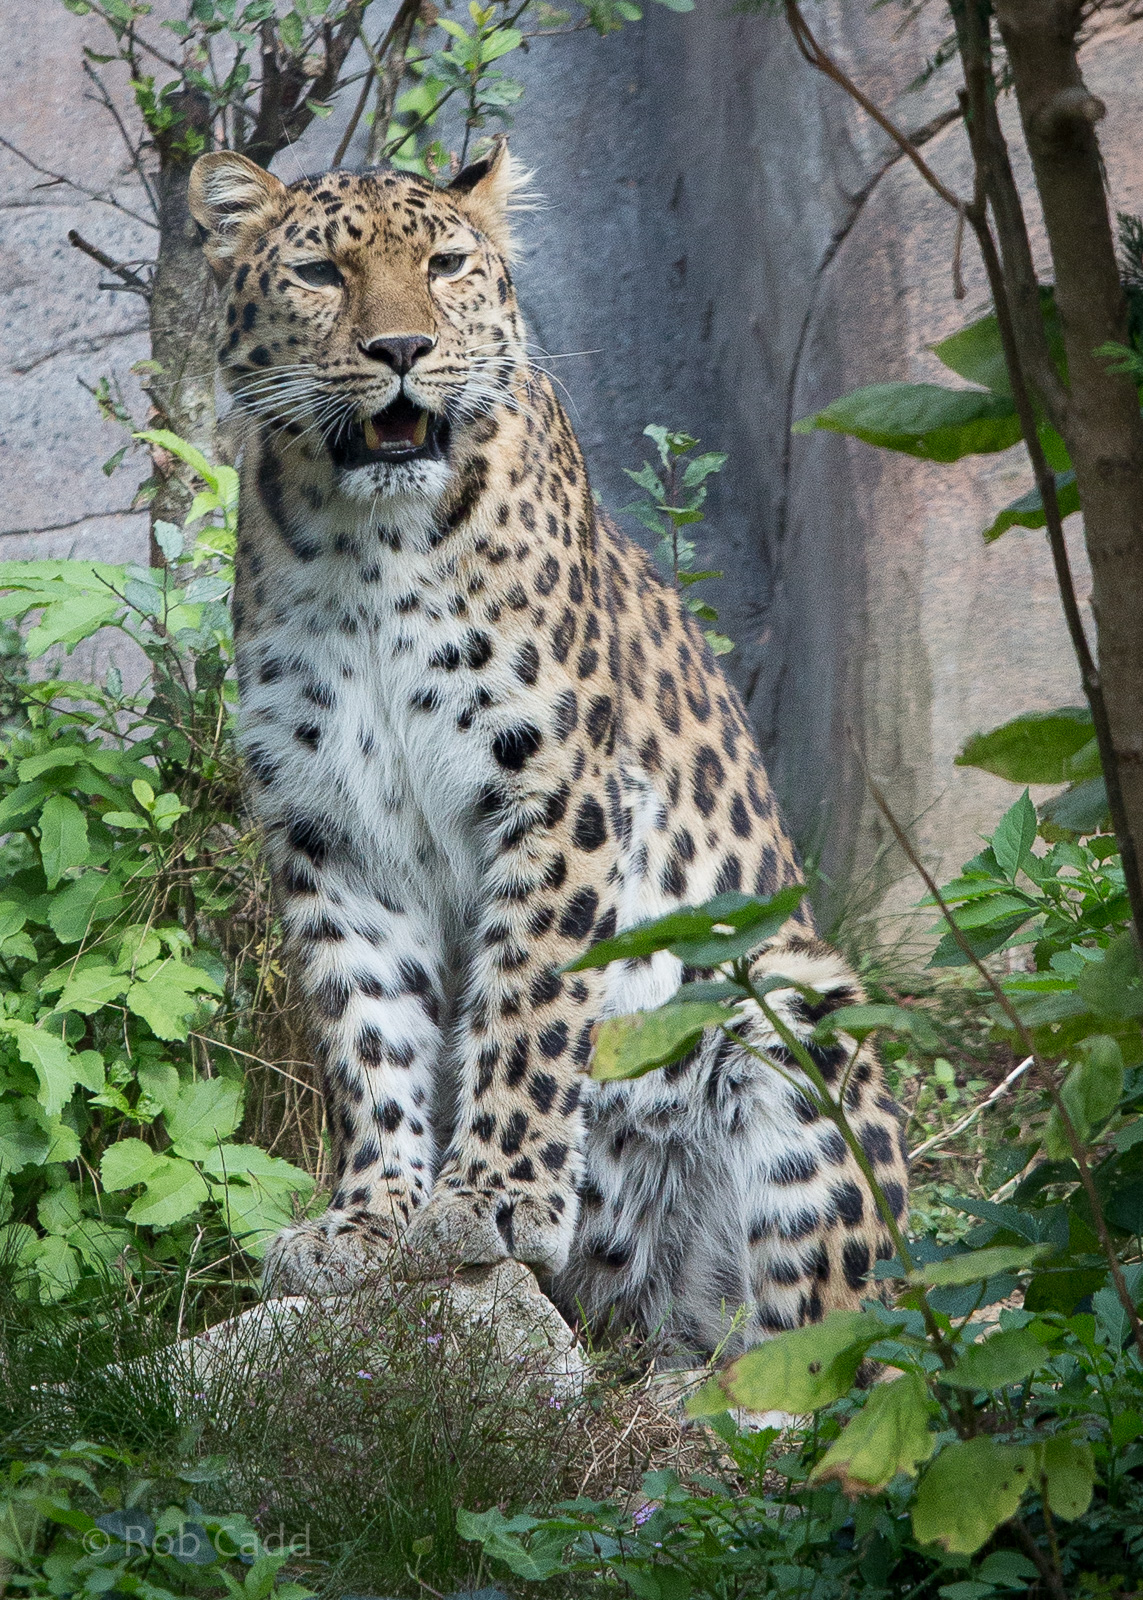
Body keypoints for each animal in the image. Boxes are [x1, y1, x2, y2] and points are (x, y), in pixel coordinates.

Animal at [188, 139, 909, 1354]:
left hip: (797, 1001)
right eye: (322, 274)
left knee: (850, 1342)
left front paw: (490, 1198)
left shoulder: (555, 789)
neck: (368, 543)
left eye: (445, 266)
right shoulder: (330, 828)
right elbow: (369, 1032)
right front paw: (364, 1221)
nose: (400, 349)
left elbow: (528, 1004)